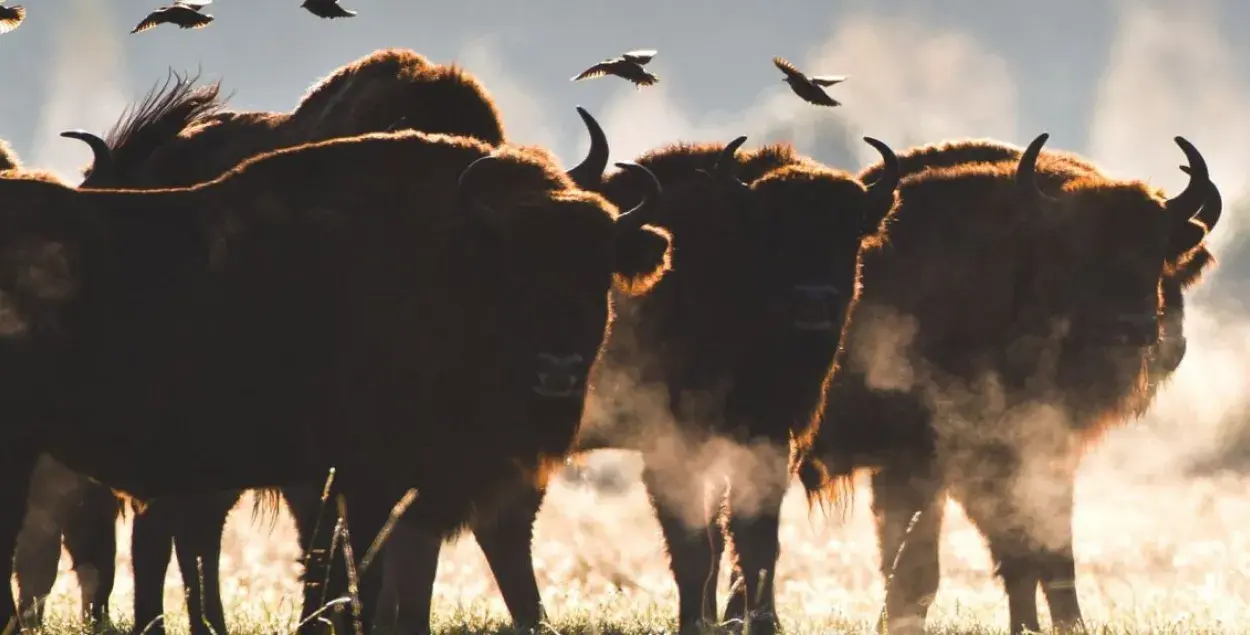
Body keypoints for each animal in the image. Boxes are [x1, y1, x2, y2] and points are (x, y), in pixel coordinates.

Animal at [0, 123, 675, 635]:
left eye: (598, 269)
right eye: (515, 266)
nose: (558, 368)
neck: (444, 263)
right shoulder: (360, 481)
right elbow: (347, 581)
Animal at [800, 133, 1220, 635]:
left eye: (1157, 251)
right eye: (1079, 252)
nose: (1135, 327)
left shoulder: (1041, 453)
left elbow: (1041, 555)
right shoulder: (927, 463)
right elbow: (920, 569)